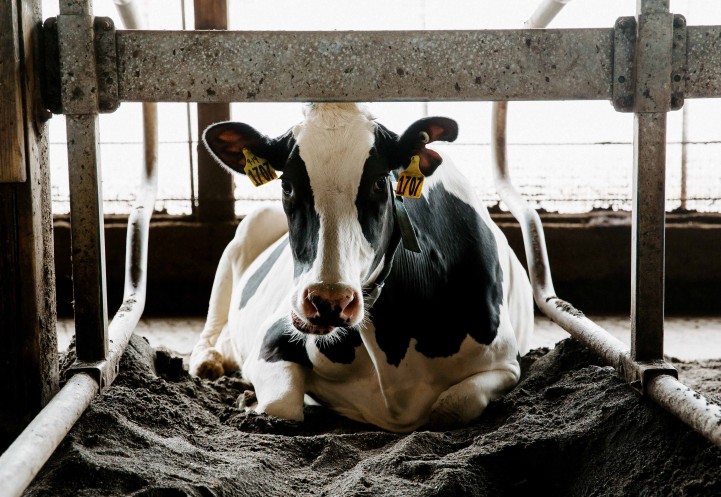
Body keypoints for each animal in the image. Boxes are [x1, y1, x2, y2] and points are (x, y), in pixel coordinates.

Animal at [189, 103, 534, 433]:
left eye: (381, 183)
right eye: (286, 184)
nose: (327, 301)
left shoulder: (506, 362)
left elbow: (450, 407)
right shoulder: (273, 336)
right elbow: (282, 406)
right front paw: (249, 401)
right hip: (248, 230)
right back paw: (207, 361)